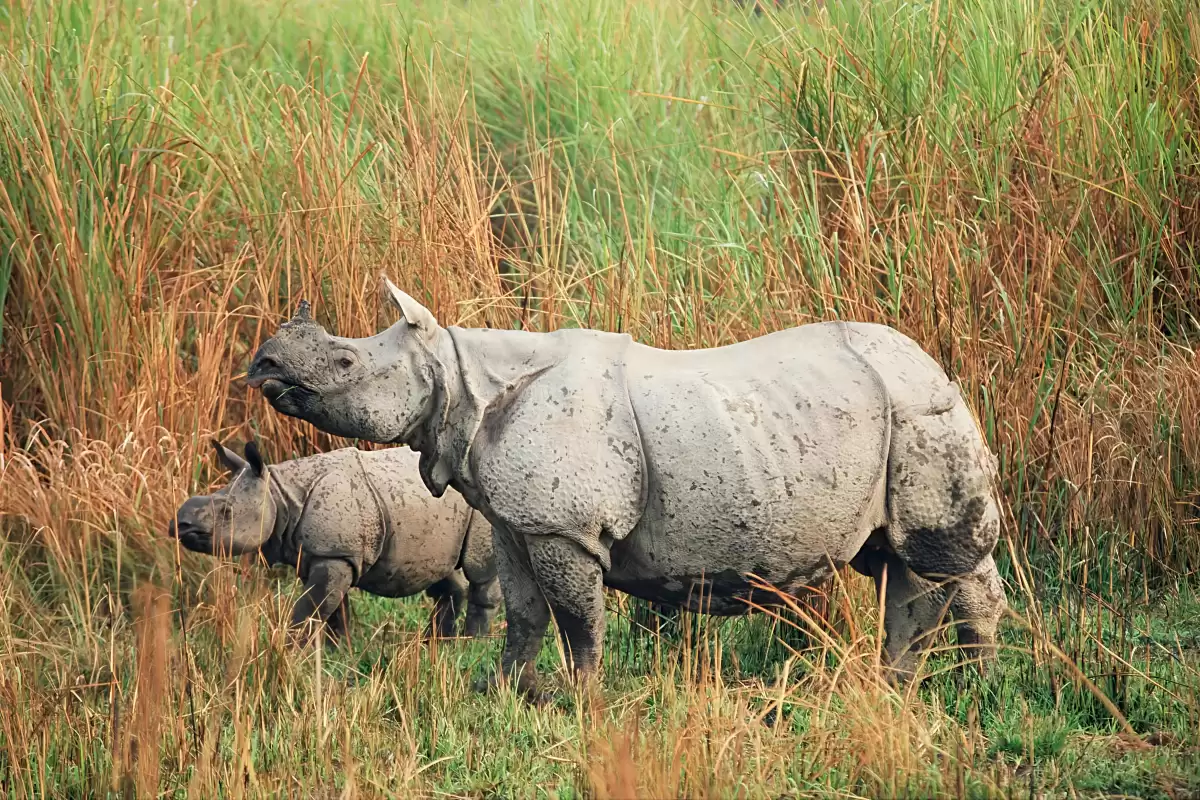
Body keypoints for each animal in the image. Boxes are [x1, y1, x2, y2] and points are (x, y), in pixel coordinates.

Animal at [169, 439, 501, 644]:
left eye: (226, 512)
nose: (178, 524)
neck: (279, 494)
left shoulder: (334, 554)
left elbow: (311, 610)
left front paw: (289, 651)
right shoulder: (324, 555)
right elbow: (334, 610)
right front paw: (340, 651)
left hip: (480, 502)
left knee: (480, 571)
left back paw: (473, 643)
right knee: (445, 572)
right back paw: (437, 644)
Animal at [243, 281, 1007, 696]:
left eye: (345, 362)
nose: (264, 364)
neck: (459, 376)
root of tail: (934, 363)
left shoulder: (564, 526)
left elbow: (577, 616)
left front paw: (580, 697)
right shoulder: (516, 523)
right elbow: (525, 613)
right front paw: (505, 688)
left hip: (921, 408)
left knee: (938, 556)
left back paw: (964, 681)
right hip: (885, 411)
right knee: (897, 560)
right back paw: (908, 683)